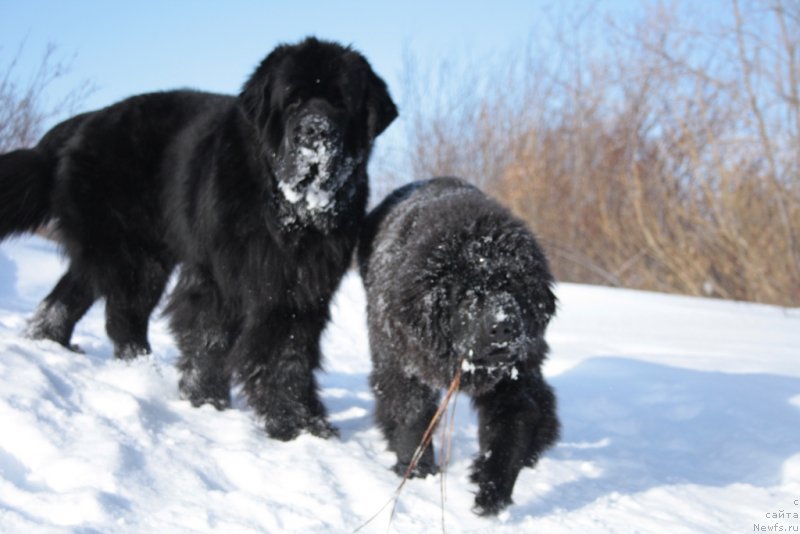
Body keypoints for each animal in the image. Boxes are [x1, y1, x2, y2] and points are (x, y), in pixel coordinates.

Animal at [0, 36, 398, 440]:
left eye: (340, 103)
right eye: (293, 100)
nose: (316, 131)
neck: (283, 211)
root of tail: (86, 120)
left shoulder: (298, 289)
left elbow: (286, 354)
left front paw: (300, 422)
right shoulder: (218, 276)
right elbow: (211, 336)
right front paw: (207, 401)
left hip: (117, 252)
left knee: (68, 296)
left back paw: (50, 342)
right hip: (134, 255)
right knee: (123, 316)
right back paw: (141, 373)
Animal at [360, 178, 560, 516]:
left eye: (514, 289)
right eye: (468, 298)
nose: (503, 326)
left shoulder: (514, 379)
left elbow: (509, 433)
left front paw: (492, 493)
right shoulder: (402, 363)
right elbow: (411, 415)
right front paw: (417, 469)